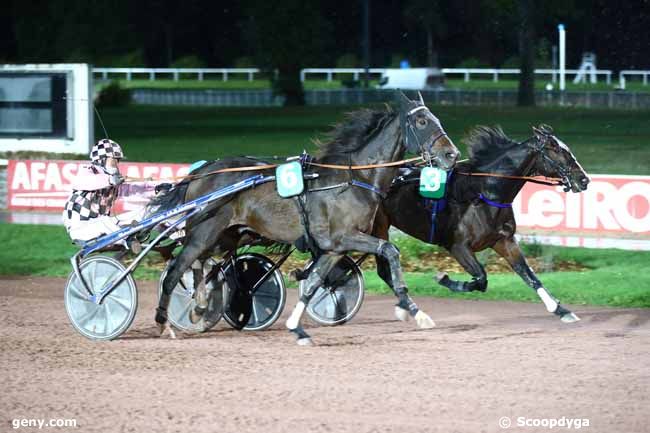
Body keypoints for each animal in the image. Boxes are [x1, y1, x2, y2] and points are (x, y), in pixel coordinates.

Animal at [152, 92, 458, 344]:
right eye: (421, 121)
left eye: (436, 118)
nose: (451, 154)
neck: (354, 179)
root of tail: (201, 172)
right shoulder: (345, 236)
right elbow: (391, 250)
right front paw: (414, 311)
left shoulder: (335, 247)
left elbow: (313, 284)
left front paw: (297, 328)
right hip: (205, 231)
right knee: (177, 269)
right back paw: (166, 323)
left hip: (227, 235)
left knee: (201, 262)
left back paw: (200, 306)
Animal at [370, 124, 588, 320]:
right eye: (556, 149)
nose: (584, 179)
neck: (483, 193)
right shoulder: (457, 246)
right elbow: (482, 278)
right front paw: (445, 279)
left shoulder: (503, 241)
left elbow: (528, 274)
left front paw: (560, 309)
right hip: (378, 226)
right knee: (383, 268)